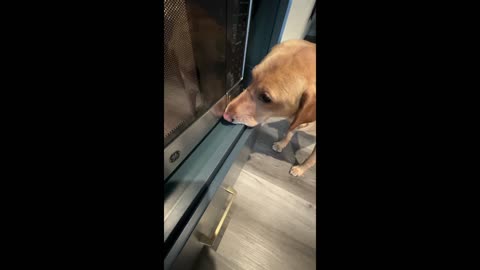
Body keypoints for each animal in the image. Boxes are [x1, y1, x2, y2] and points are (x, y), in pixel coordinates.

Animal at [224, 39, 316, 176]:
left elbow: (311, 160)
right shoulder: (296, 122)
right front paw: (281, 144)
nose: (225, 114)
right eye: (252, 75)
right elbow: (289, 133)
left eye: (266, 98)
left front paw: (300, 169)